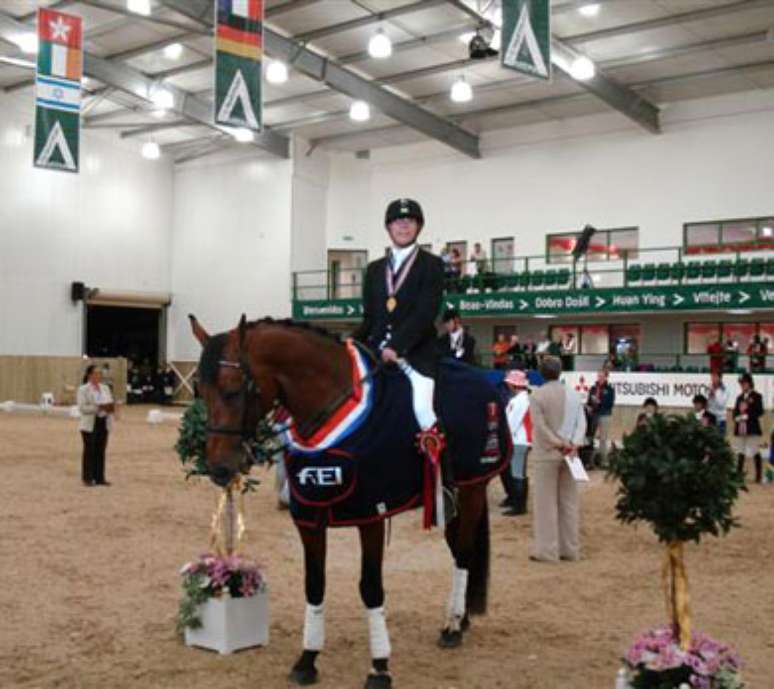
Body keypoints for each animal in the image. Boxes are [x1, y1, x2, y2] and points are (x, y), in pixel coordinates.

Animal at [188, 314, 504, 684]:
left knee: (464, 552)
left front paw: (379, 666)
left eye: (233, 389)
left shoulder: (371, 515)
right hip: (448, 499)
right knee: (458, 550)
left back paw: (453, 627)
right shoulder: (309, 517)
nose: (219, 469)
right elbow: (314, 584)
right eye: (200, 391)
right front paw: (307, 659)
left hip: (472, 488)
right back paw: (460, 619)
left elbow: (371, 587)